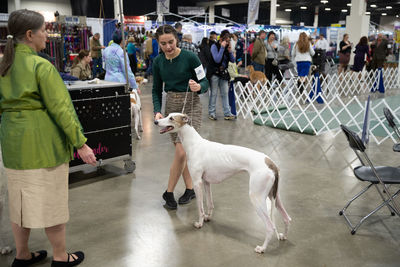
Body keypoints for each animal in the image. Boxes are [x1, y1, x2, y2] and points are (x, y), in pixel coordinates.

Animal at [155, 112, 290, 253]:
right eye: (167, 115)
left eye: (171, 118)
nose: (156, 122)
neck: (194, 144)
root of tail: (271, 164)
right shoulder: (206, 182)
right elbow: (210, 203)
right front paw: (208, 217)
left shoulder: (197, 182)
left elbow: (200, 208)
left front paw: (200, 223)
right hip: (275, 196)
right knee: (287, 218)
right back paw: (283, 236)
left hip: (257, 198)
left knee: (270, 226)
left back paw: (262, 248)